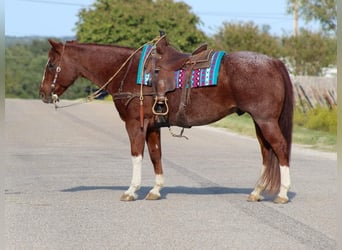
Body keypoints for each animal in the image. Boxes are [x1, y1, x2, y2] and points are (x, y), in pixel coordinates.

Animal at [38, 34, 292, 203]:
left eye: (51, 64)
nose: (42, 94)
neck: (128, 71)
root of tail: (274, 62)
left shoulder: (135, 124)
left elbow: (137, 155)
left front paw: (131, 190)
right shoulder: (152, 126)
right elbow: (155, 155)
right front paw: (155, 190)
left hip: (265, 120)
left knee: (280, 148)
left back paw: (282, 193)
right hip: (259, 121)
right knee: (267, 152)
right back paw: (256, 191)